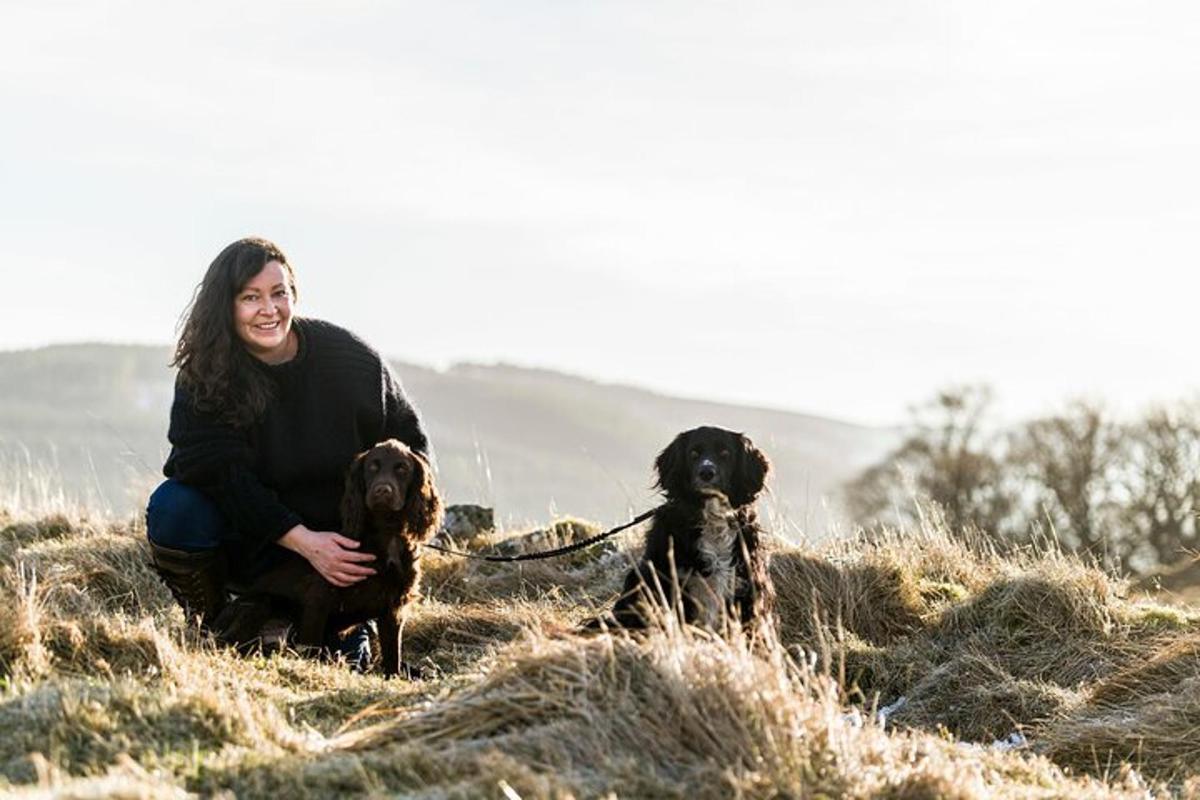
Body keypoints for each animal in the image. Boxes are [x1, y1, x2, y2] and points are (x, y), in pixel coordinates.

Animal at [219, 438, 441, 676]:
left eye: (402, 468)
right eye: (372, 467)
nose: (382, 490)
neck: (385, 532)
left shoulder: (394, 607)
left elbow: (393, 656)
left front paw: (394, 677)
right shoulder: (319, 598)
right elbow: (311, 648)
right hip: (260, 603)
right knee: (231, 641)